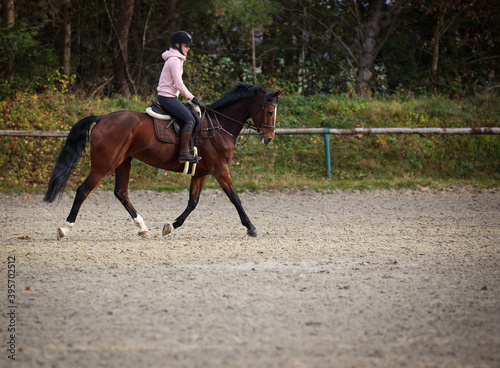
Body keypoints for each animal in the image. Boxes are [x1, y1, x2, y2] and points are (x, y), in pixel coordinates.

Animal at [44, 82, 284, 240]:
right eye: (269, 111)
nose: (269, 138)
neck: (218, 126)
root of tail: (102, 118)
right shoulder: (219, 168)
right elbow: (235, 198)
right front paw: (251, 227)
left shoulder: (201, 172)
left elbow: (193, 202)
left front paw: (171, 226)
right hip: (104, 165)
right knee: (83, 190)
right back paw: (65, 228)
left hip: (124, 161)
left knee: (121, 193)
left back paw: (142, 227)